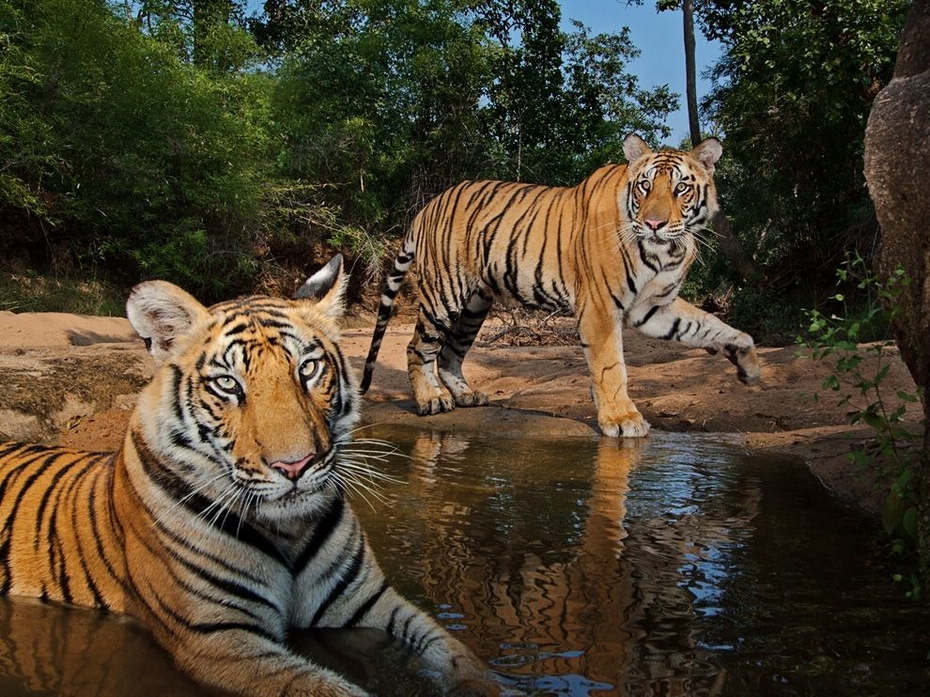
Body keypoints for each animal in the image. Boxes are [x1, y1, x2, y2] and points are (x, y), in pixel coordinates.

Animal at [0, 253, 496, 696]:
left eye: (308, 369)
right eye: (228, 384)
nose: (295, 465)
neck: (289, 530)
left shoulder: (367, 602)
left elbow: (458, 654)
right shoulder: (220, 639)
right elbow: (325, 690)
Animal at [358, 135, 756, 436]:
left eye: (681, 188)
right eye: (645, 187)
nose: (654, 223)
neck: (665, 251)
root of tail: (429, 205)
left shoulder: (654, 306)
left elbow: (709, 324)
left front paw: (748, 359)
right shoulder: (600, 307)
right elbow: (611, 367)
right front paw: (622, 419)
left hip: (475, 305)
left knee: (450, 352)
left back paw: (465, 395)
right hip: (445, 294)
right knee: (418, 346)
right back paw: (431, 400)